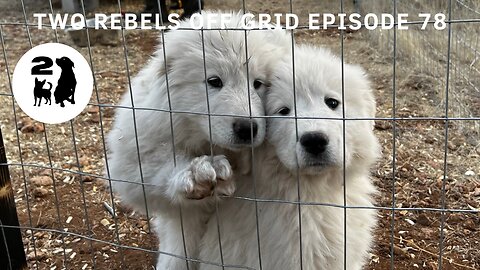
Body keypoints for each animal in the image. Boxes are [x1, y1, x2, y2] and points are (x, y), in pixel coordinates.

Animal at [106, 11, 288, 270]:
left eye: (258, 83)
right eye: (214, 81)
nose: (247, 129)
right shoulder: (134, 152)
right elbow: (151, 169)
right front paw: (199, 172)